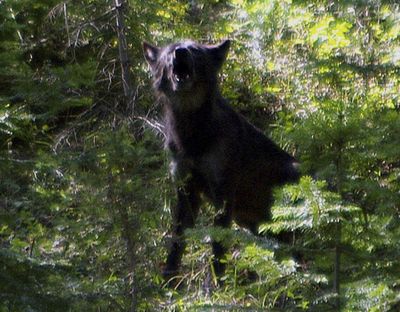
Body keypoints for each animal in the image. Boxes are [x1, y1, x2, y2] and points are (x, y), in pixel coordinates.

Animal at [144, 39, 300, 280]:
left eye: (195, 50)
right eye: (170, 51)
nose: (180, 53)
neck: (193, 138)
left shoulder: (223, 192)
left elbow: (218, 246)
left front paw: (219, 283)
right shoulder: (186, 190)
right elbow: (177, 241)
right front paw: (169, 280)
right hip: (247, 220)